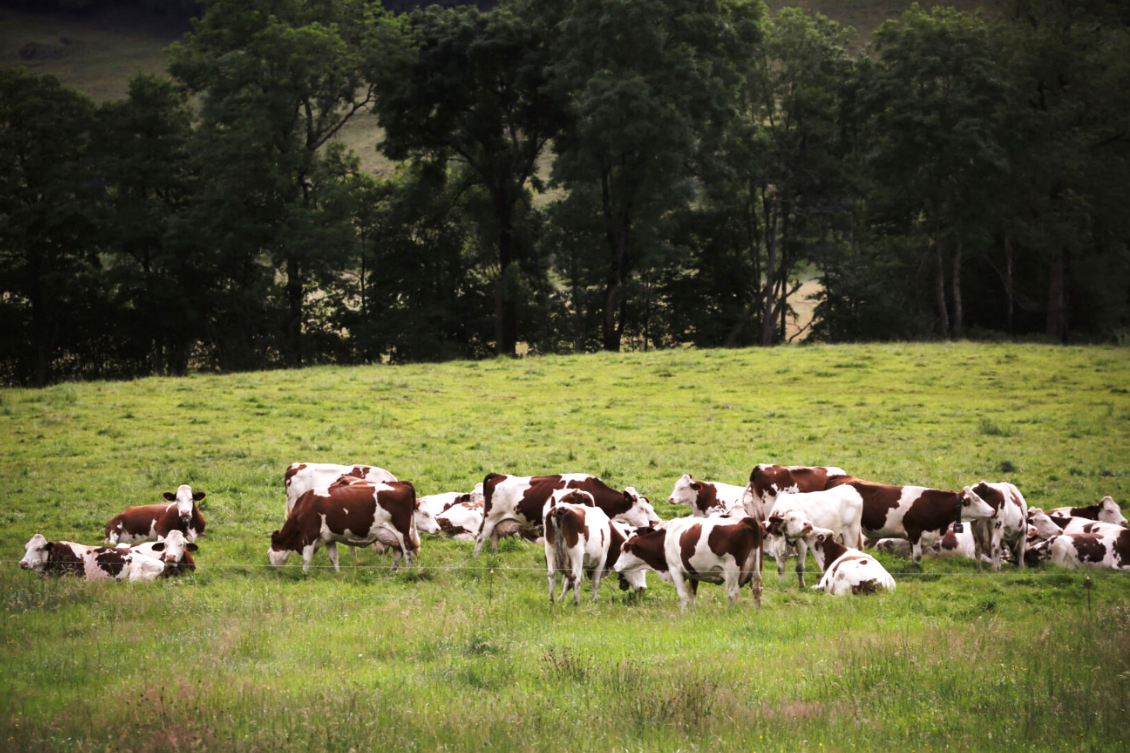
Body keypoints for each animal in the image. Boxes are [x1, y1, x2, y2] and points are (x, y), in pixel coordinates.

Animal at [269, 481, 420, 574]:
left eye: (269, 553)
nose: (272, 569)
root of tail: (401, 484)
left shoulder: (309, 535)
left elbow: (306, 558)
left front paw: (304, 574)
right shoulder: (328, 538)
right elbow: (333, 557)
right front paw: (337, 573)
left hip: (402, 532)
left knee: (407, 552)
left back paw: (407, 572)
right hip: (393, 535)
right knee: (398, 553)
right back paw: (392, 572)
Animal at [472, 473, 660, 557]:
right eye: (643, 509)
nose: (653, 523)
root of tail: (500, 476)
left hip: (498, 523)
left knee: (494, 539)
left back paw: (493, 558)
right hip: (489, 519)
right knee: (481, 538)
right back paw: (476, 559)